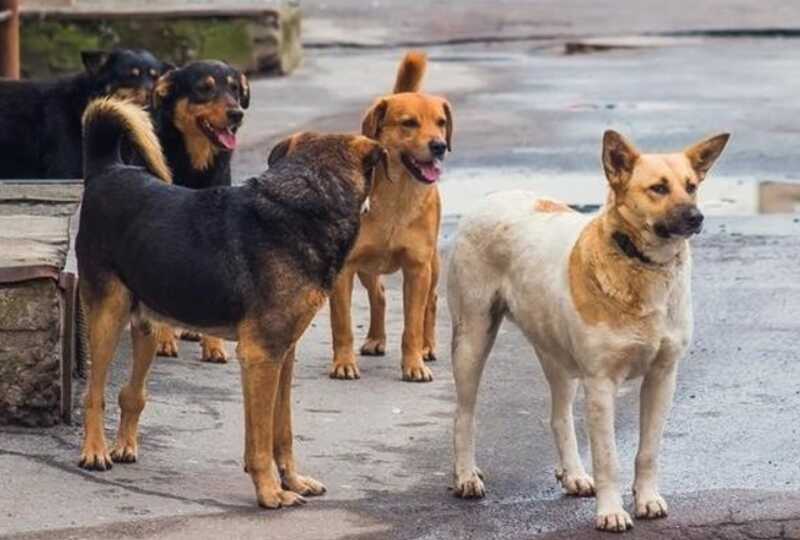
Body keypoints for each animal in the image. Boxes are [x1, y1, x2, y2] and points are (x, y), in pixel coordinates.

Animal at [76, 98, 386, 510]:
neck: (307, 201)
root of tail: (108, 169)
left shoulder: (283, 355)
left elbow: (282, 431)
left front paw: (292, 480)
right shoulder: (261, 356)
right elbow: (260, 441)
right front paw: (270, 492)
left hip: (148, 324)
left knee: (131, 393)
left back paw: (124, 445)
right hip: (107, 315)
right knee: (94, 393)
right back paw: (95, 451)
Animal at [147, 60, 250, 362]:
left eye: (235, 89)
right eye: (204, 88)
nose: (236, 113)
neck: (195, 165)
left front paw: (213, 346)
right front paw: (164, 340)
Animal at [324, 48, 450, 382]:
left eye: (441, 122)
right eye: (408, 123)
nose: (440, 145)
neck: (397, 196)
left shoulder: (417, 269)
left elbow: (412, 325)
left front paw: (414, 364)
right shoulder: (344, 269)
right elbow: (342, 324)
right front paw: (344, 362)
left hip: (432, 264)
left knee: (431, 302)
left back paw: (427, 346)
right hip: (367, 267)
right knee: (378, 294)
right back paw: (376, 339)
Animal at [446, 130, 728, 532]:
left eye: (691, 186)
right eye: (658, 188)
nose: (696, 217)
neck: (641, 264)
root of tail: (492, 197)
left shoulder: (662, 377)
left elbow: (648, 451)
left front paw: (646, 499)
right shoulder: (601, 384)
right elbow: (608, 458)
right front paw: (611, 511)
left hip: (557, 357)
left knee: (559, 416)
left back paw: (574, 474)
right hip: (472, 339)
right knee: (464, 414)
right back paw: (466, 476)